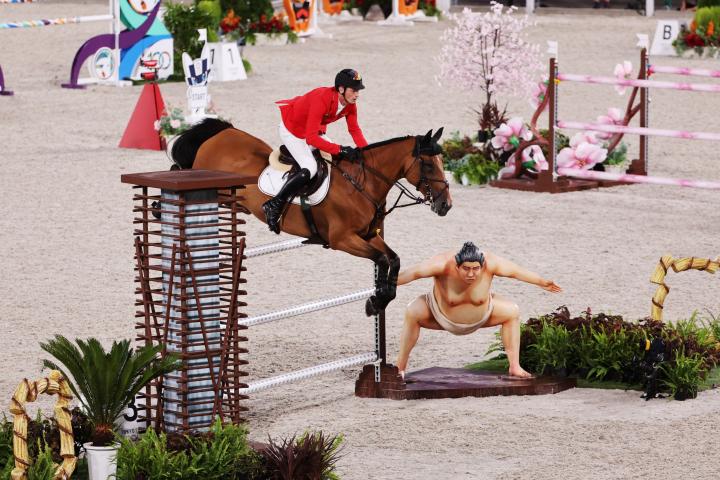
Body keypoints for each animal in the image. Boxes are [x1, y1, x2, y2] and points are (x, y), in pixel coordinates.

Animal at [170, 118, 452, 315]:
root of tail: (221, 132)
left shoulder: (369, 235)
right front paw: (376, 300)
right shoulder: (343, 240)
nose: (445, 205)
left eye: (441, 161)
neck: (362, 183)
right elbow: (382, 260)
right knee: (179, 173)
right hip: (208, 184)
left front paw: (379, 300)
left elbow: (394, 259)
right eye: (428, 165)